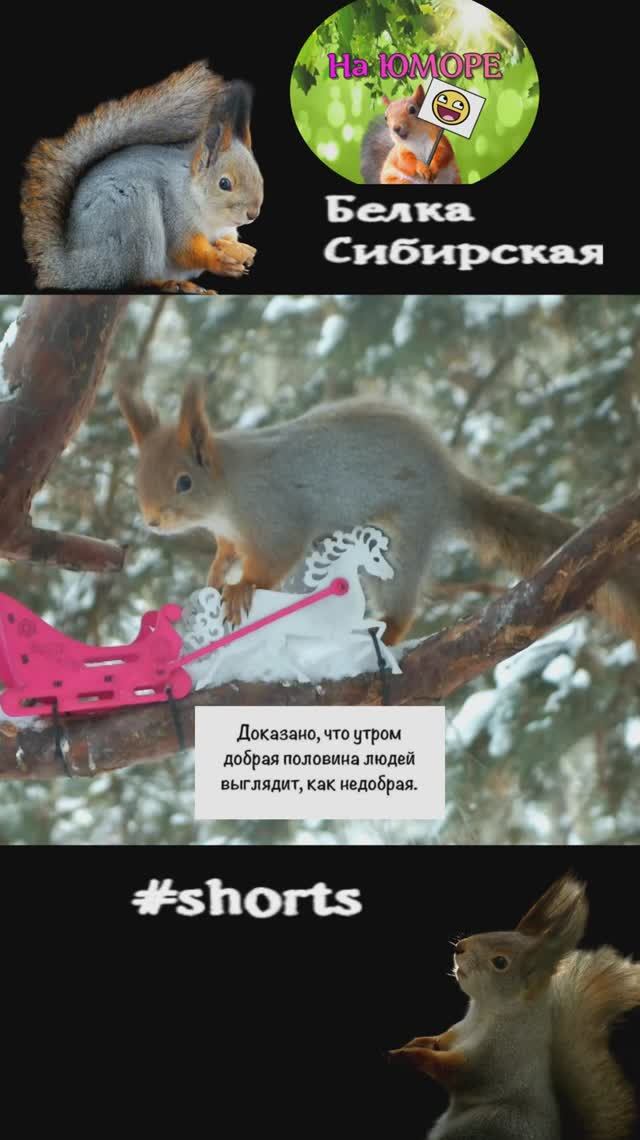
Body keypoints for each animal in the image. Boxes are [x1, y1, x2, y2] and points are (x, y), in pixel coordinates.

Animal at [21, 62, 264, 293]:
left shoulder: (225, 230)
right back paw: (171, 284)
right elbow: (184, 250)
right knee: (135, 278)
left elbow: (227, 240)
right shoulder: (176, 216)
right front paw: (220, 262)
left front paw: (239, 250)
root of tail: (72, 268)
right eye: (224, 183)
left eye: (260, 179)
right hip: (135, 218)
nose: (252, 214)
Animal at [117, 384, 640, 643]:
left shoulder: (275, 518)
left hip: (401, 536)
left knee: (403, 596)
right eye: (137, 475)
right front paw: (214, 574)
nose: (153, 521)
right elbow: (225, 553)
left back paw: (390, 632)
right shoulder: (231, 535)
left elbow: (273, 562)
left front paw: (242, 588)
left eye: (184, 482)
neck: (226, 496)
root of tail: (451, 484)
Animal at [389, 875, 640, 1140]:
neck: (485, 1012)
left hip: (488, 1123)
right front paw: (417, 1042)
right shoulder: (460, 1030)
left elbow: (457, 1071)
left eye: (500, 962)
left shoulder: (497, 1055)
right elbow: (441, 1040)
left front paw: (409, 1055)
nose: (460, 947)